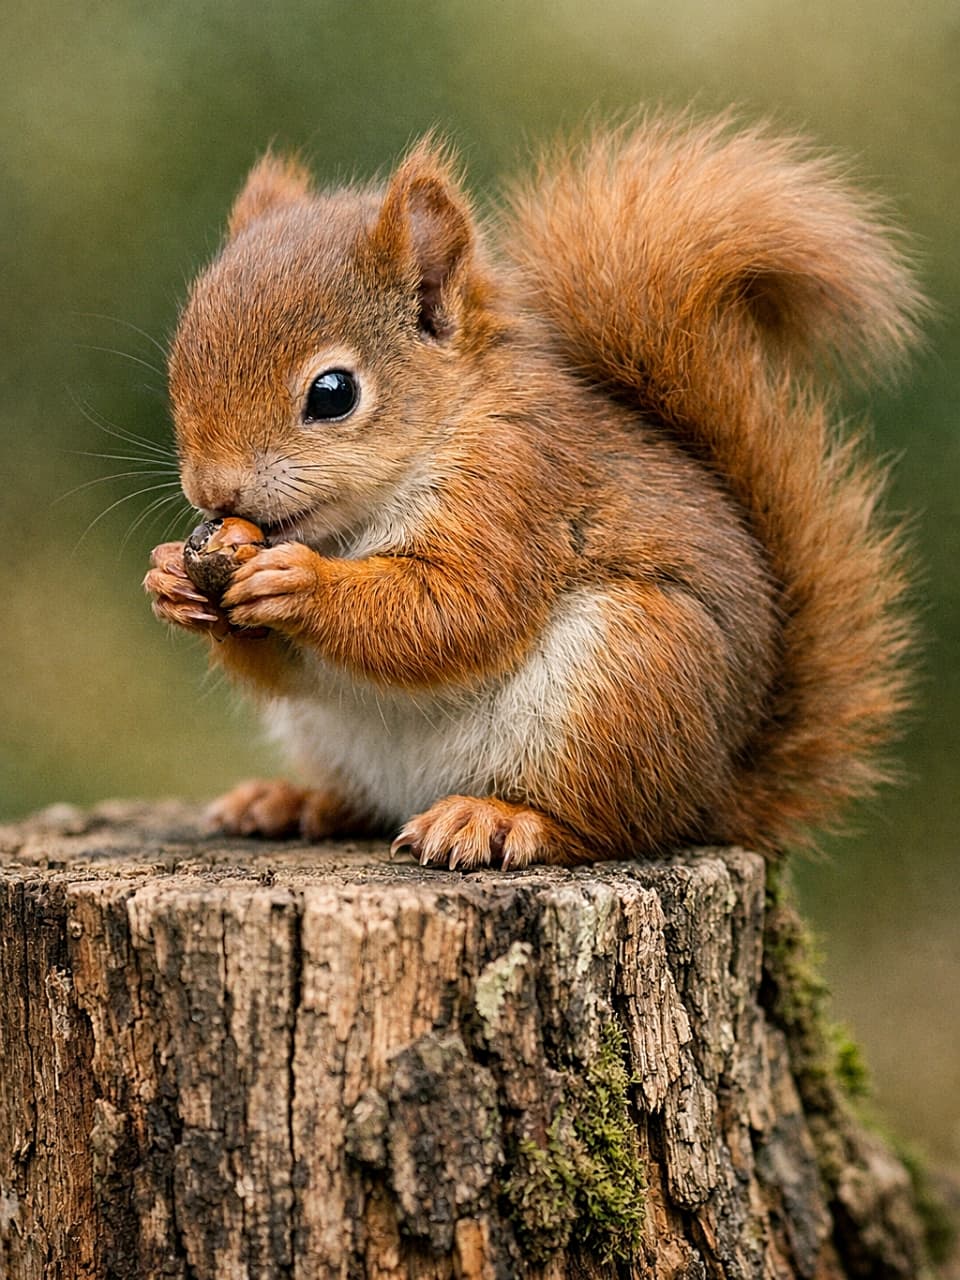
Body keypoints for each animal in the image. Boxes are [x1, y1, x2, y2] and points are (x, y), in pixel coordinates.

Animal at [144, 112, 922, 870]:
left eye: (333, 394)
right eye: (180, 362)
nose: (214, 491)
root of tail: (716, 791)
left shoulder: (518, 488)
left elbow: (456, 610)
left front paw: (298, 581)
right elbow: (289, 664)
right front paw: (170, 580)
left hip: (624, 682)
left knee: (608, 824)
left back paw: (498, 818)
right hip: (333, 734)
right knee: (365, 799)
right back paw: (293, 802)